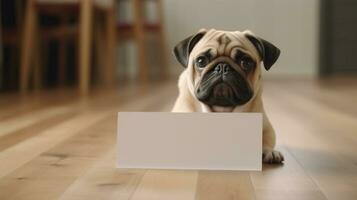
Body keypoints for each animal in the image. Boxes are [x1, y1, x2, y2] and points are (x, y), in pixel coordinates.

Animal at [171, 29, 282, 164]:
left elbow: (265, 139)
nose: (222, 67)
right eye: (201, 61)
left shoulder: (266, 127)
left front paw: (268, 151)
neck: (222, 109)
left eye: (246, 62)